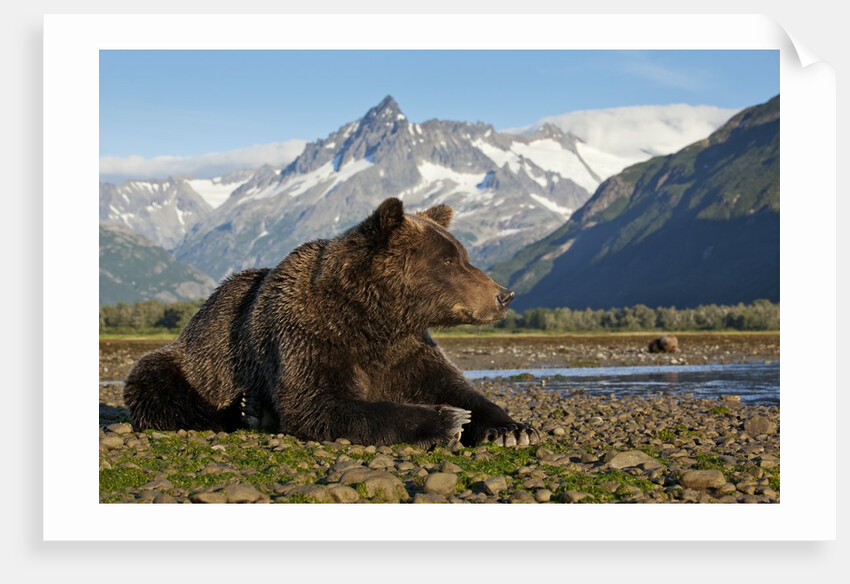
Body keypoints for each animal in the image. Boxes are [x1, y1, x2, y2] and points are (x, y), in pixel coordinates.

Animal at [123, 197, 539, 448]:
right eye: (448, 260)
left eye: (463, 254)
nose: (504, 295)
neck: (374, 320)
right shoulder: (308, 335)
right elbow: (320, 402)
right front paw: (446, 420)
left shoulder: (408, 349)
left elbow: (456, 386)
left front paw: (513, 429)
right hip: (198, 359)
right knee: (157, 385)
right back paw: (248, 410)